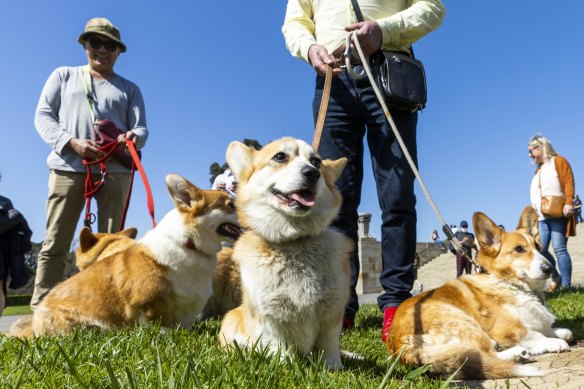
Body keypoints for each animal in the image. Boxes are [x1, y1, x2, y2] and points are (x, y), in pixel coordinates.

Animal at [217, 138, 350, 368]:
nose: (312, 173)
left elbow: (330, 346)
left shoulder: (332, 313)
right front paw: (285, 366)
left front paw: (334, 368)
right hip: (232, 321)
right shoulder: (271, 317)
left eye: (316, 162)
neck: (293, 241)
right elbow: (281, 347)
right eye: (280, 156)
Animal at [386, 206, 572, 378]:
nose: (549, 268)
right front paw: (554, 341)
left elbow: (547, 328)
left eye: (538, 247)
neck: (510, 283)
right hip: (464, 321)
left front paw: (560, 331)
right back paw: (518, 354)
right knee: (482, 356)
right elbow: (534, 335)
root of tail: (403, 345)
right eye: (519, 249)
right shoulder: (509, 329)